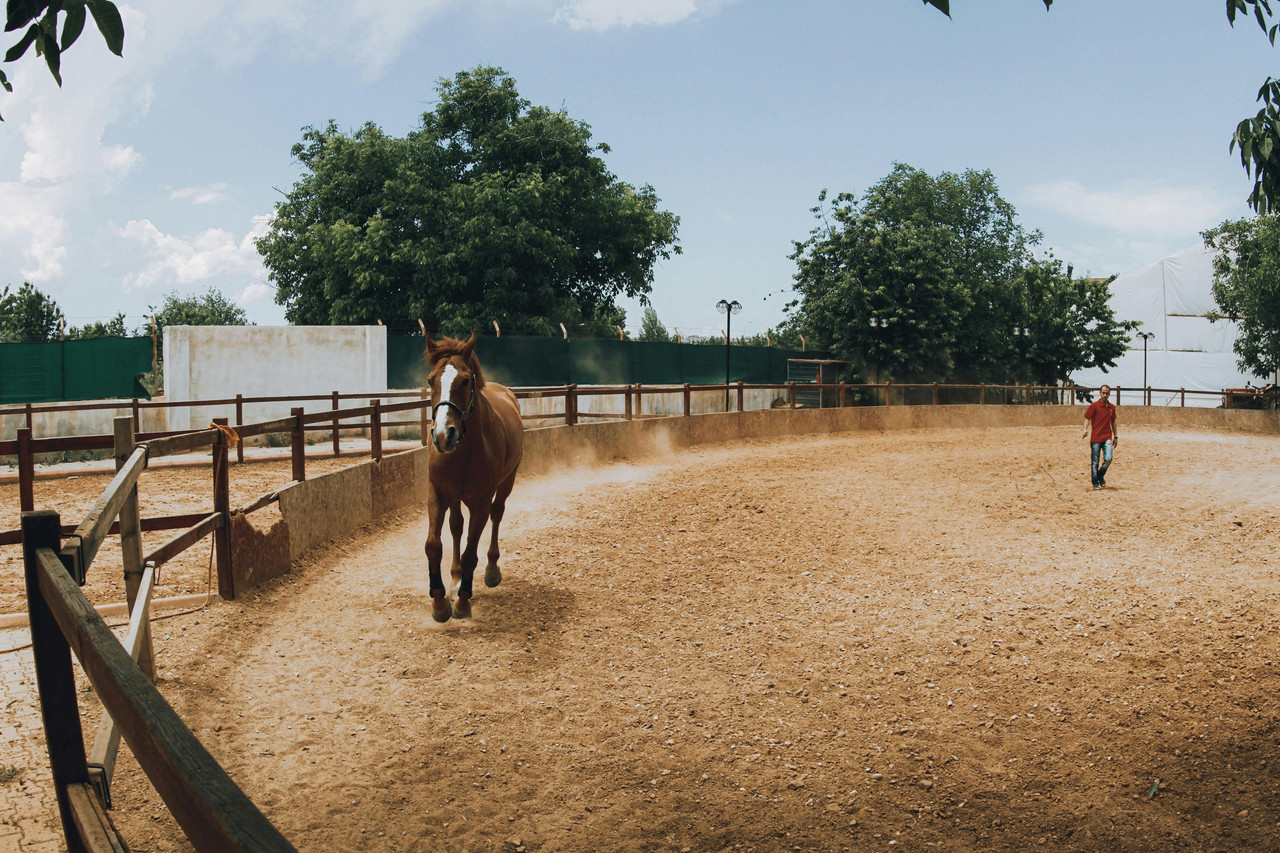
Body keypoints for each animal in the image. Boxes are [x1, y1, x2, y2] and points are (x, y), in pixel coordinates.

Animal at [423, 331, 524, 622]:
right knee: (456, 526)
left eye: (465, 380)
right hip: (456, 498)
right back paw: (455, 579)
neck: (465, 451)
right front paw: (440, 602)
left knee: (497, 515)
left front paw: (462, 602)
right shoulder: (438, 493)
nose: (443, 434)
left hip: (507, 483)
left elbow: (470, 552)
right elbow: (434, 545)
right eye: (431, 380)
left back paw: (490, 571)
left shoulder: (481, 501)